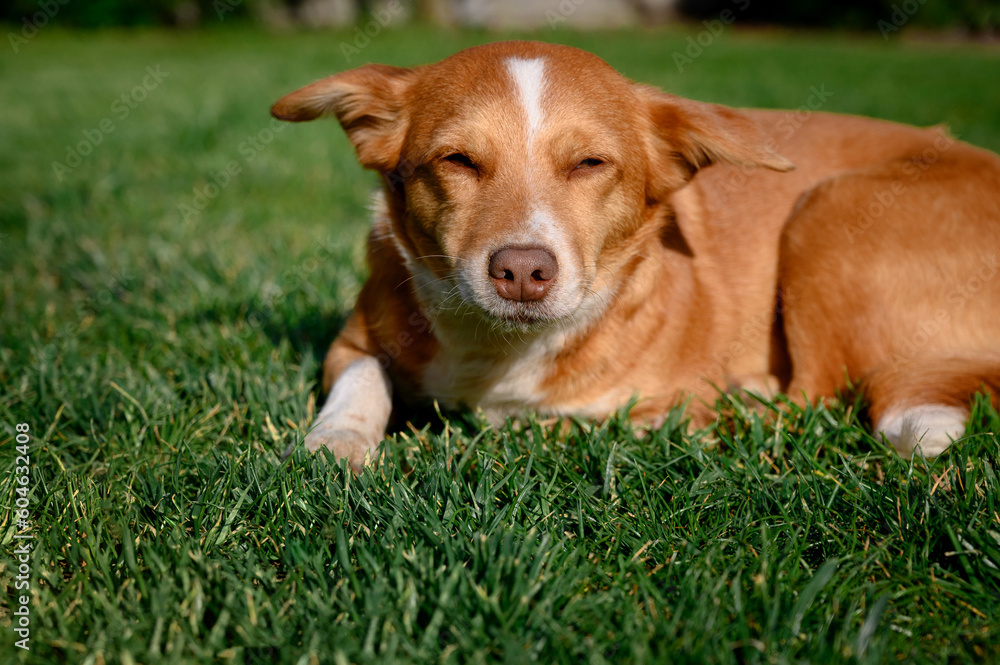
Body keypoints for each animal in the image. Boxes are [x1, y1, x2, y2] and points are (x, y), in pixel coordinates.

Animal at [270, 40, 1000, 472]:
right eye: (458, 161)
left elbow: (568, 422)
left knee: (815, 397)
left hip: (827, 212)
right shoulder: (352, 342)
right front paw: (336, 441)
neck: (501, 351)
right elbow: (363, 379)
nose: (522, 271)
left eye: (591, 164)